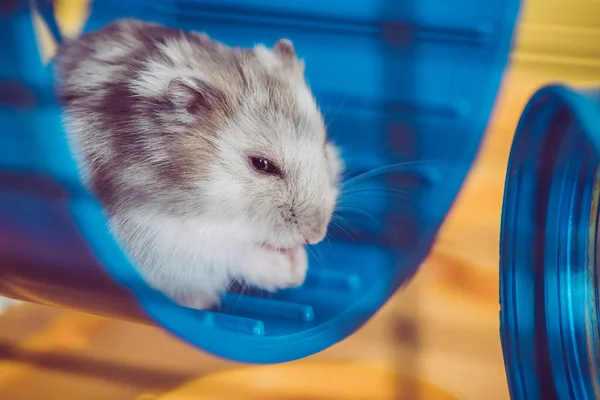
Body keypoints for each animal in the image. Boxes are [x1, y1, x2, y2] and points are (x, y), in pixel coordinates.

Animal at [54, 18, 344, 310]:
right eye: (262, 164)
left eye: (323, 146)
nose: (316, 236)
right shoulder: (165, 237)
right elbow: (235, 255)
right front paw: (292, 270)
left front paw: (300, 263)